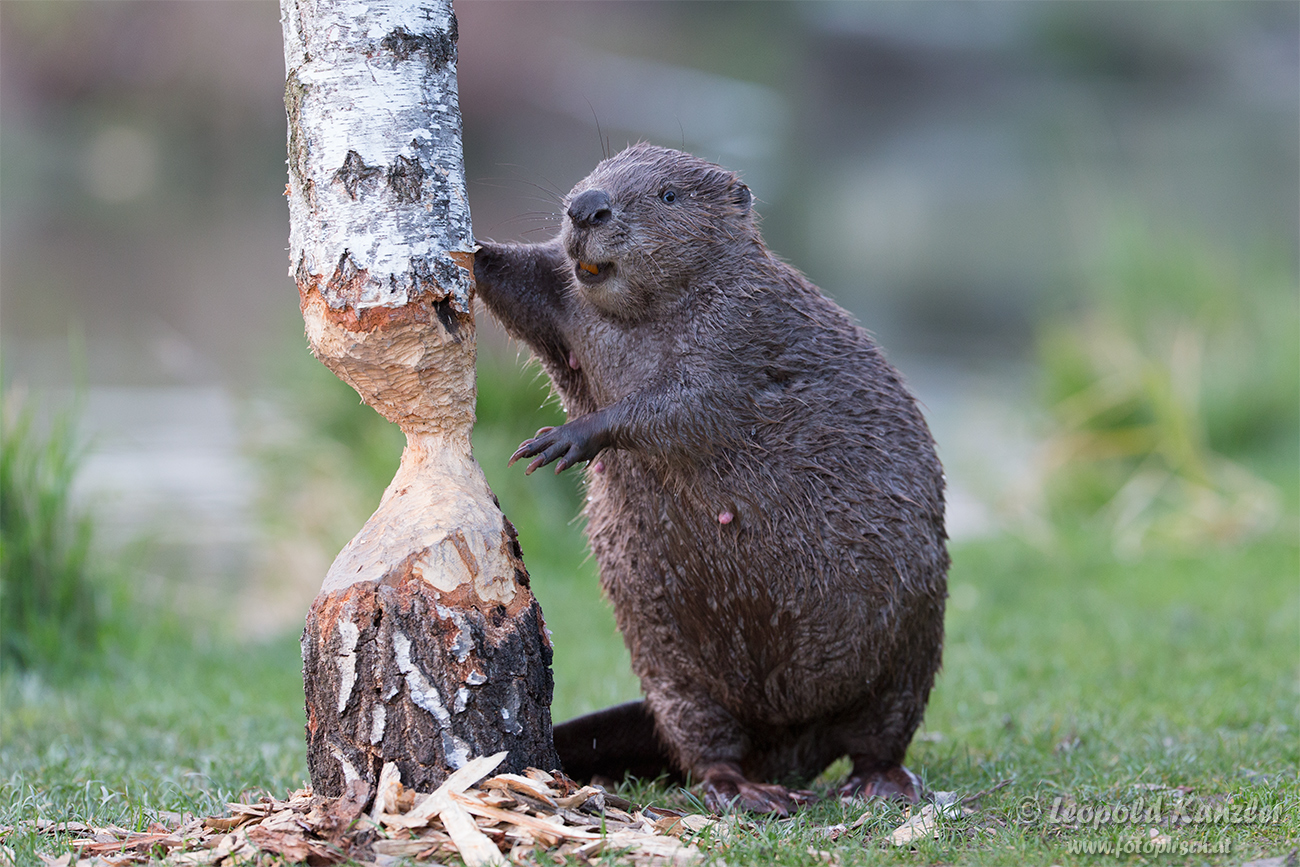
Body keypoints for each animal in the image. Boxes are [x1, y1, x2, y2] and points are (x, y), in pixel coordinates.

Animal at [473, 142, 951, 816]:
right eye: (597, 171)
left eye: (668, 194)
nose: (586, 207)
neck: (645, 315)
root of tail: (789, 738)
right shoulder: (564, 300)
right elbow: (523, 283)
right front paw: (465, 248)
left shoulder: (744, 324)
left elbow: (688, 402)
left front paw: (563, 440)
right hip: (675, 673)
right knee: (707, 747)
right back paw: (747, 791)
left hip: (909, 646)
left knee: (880, 734)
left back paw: (873, 787)